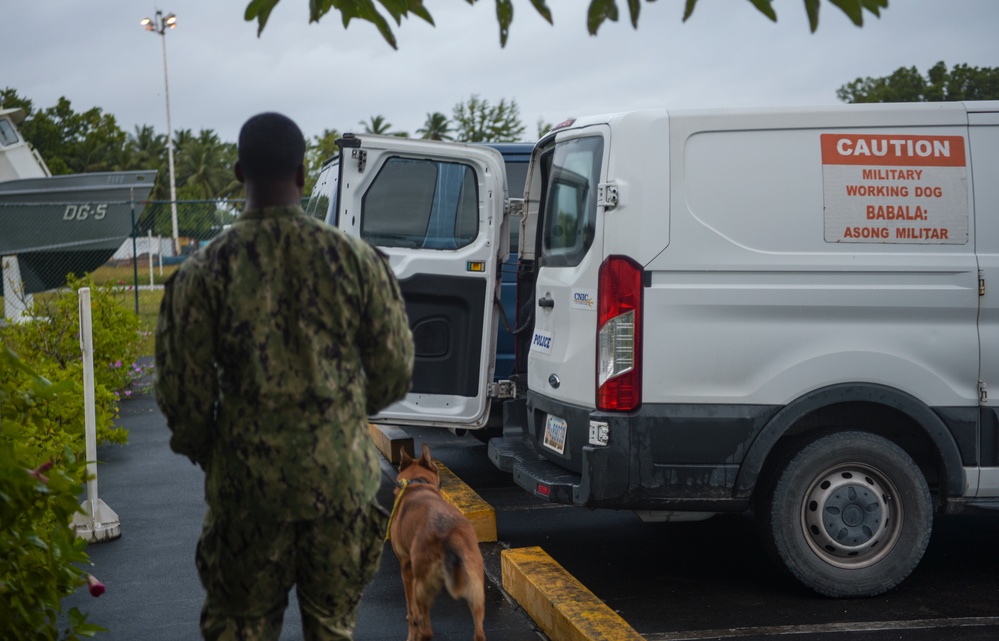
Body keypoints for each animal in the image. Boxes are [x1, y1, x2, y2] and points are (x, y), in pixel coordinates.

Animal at [388, 442, 486, 640]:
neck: (416, 482)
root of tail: (448, 534)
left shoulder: (406, 568)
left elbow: (411, 609)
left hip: (421, 585)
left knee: (424, 627)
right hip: (476, 586)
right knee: (479, 632)